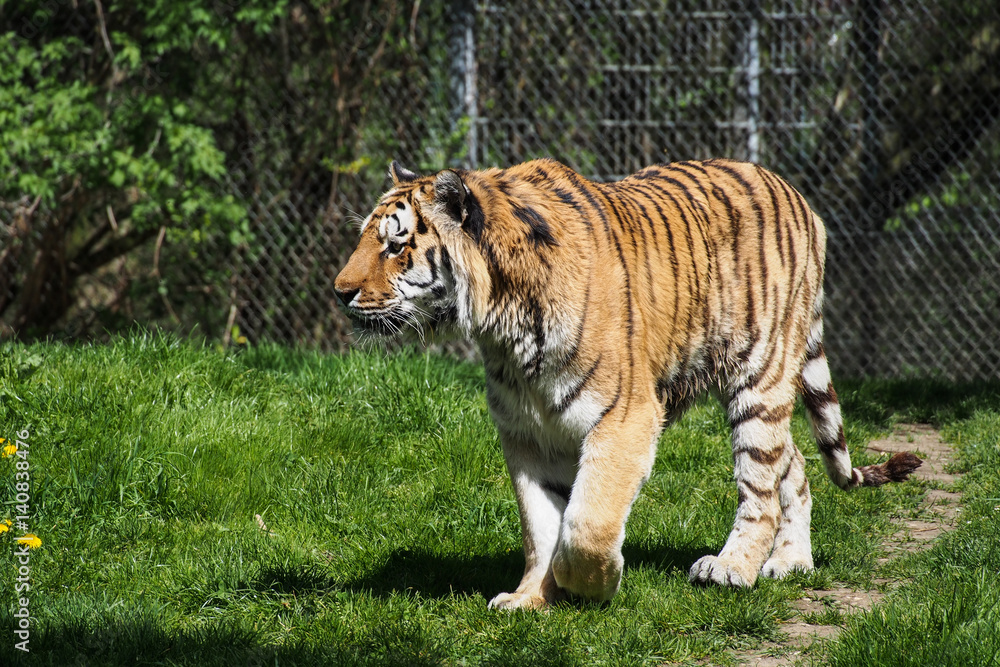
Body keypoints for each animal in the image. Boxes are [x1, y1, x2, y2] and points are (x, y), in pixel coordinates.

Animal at [334, 158, 922, 609]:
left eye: (395, 246)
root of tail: (798, 196)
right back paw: (790, 561)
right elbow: (540, 526)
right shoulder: (527, 434)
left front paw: (594, 584)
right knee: (792, 463)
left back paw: (732, 569)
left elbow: (585, 523)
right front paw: (529, 599)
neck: (502, 326)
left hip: (760, 376)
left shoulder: (624, 417)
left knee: (761, 486)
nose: (339, 292)